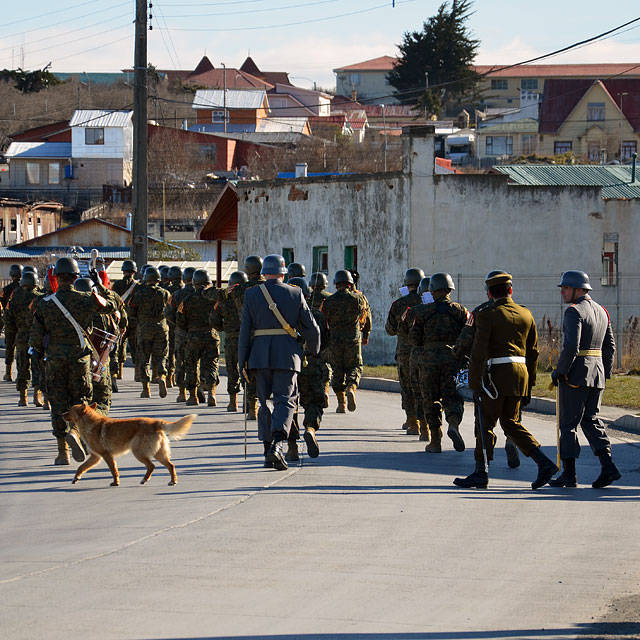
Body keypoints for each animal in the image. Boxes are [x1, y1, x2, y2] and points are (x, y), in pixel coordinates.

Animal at [64, 402, 198, 488]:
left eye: (69, 410)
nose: (61, 414)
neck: (90, 423)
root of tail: (155, 422)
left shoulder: (106, 455)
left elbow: (113, 470)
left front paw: (116, 483)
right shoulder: (95, 457)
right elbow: (81, 467)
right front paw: (76, 478)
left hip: (138, 452)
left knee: (151, 466)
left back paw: (145, 479)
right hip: (159, 454)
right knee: (171, 466)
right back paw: (172, 481)